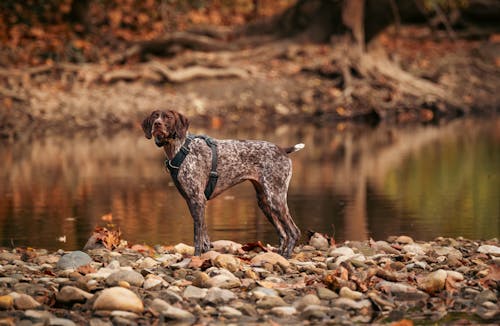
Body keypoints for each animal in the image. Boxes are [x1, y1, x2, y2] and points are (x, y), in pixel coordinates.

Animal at [143, 109, 302, 258]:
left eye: (168, 117)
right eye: (155, 117)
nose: (157, 124)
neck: (181, 148)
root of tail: (283, 150)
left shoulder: (198, 200)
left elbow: (197, 235)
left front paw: (197, 256)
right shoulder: (192, 201)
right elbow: (204, 234)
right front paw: (205, 254)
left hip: (275, 199)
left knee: (294, 231)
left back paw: (287, 255)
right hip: (265, 203)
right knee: (283, 234)